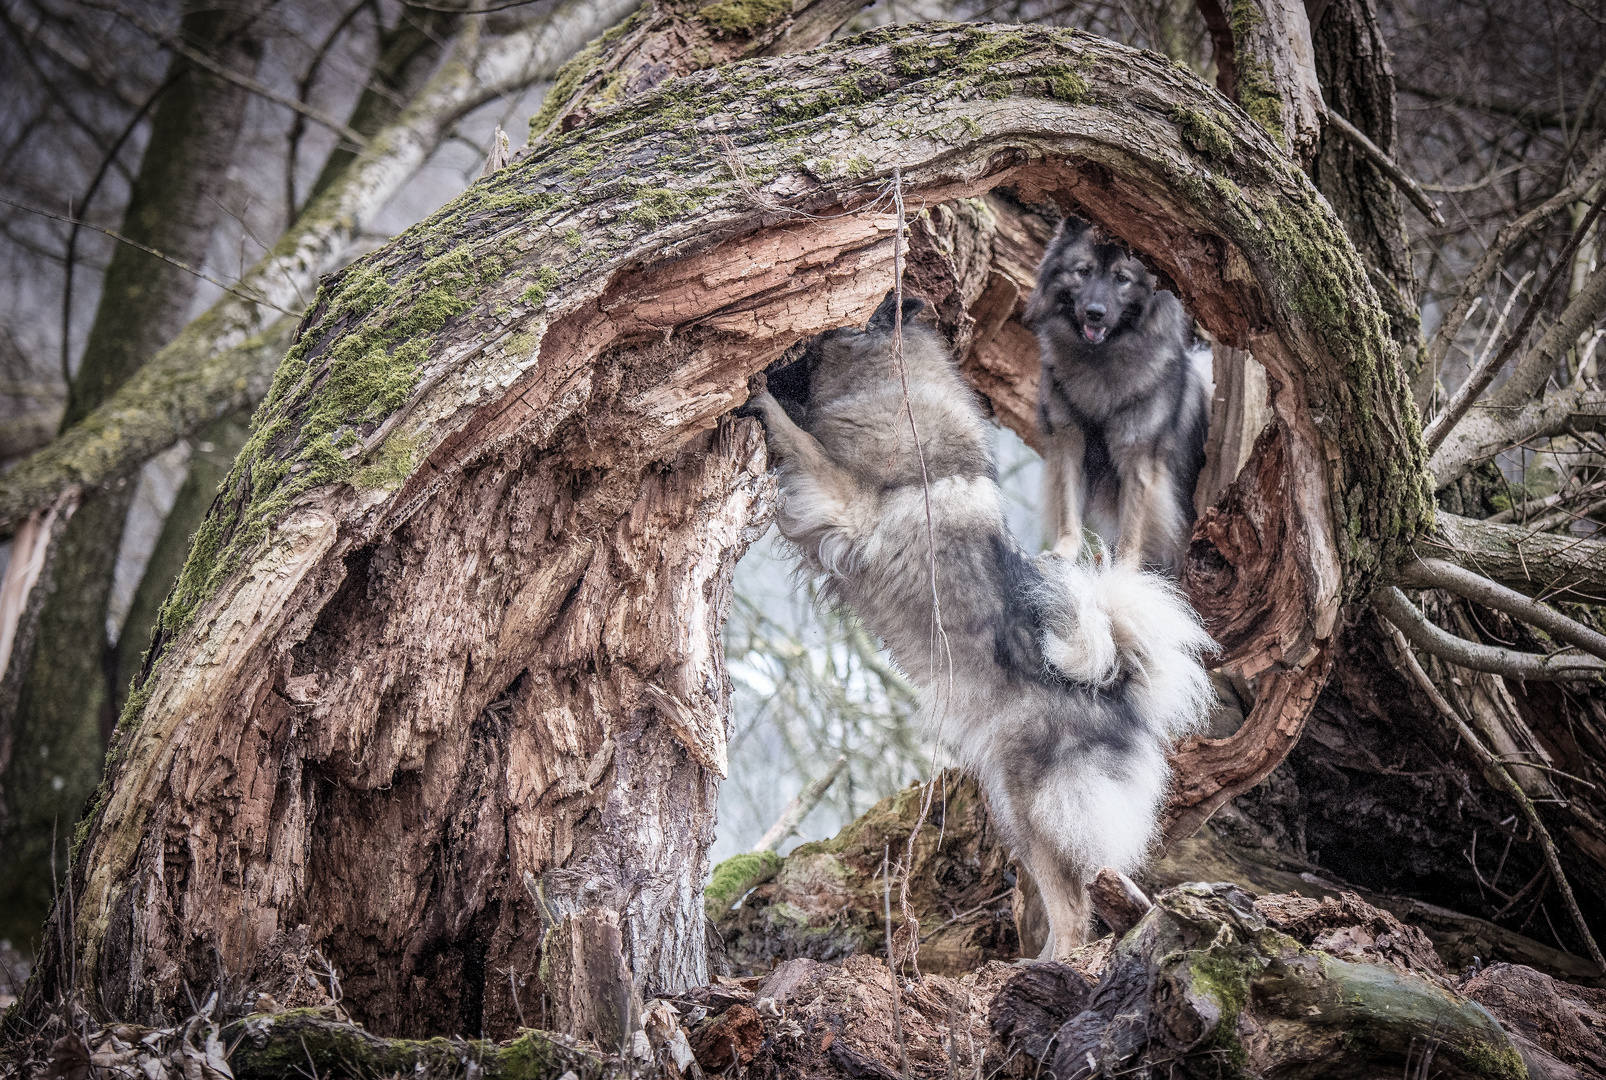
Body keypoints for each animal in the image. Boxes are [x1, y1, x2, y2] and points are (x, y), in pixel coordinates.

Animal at [745, 292, 1207, 951]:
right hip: (1014, 813)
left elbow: (800, 443)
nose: (777, 358)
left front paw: (762, 401)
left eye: (813, 346)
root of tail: (1118, 691)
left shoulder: (845, 501)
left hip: (1032, 806)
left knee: (1074, 912)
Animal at [1027, 218, 1207, 572]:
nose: (1095, 312)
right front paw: (1063, 552)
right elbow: (1069, 510)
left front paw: (1123, 570)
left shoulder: (1138, 459)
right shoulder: (1069, 444)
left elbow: (1132, 528)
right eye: (1083, 272)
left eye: (1122, 279)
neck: (1099, 360)